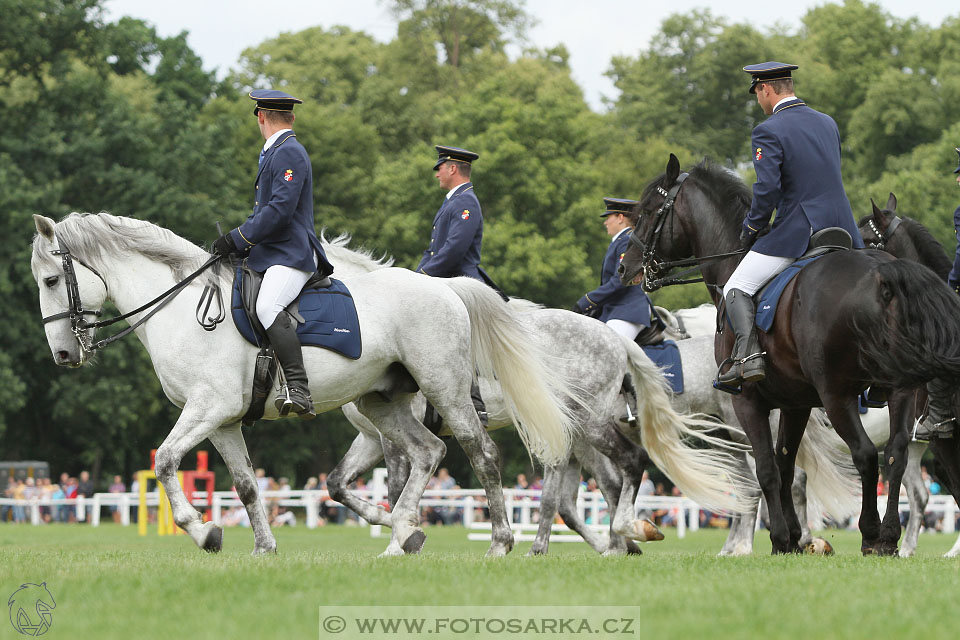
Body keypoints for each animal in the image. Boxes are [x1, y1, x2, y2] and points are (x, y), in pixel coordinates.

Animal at [31, 212, 584, 556]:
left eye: (51, 280)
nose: (63, 355)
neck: (182, 308)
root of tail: (444, 288)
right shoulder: (222, 421)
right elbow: (247, 486)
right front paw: (263, 547)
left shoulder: (208, 408)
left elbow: (165, 460)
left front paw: (204, 532)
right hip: (381, 403)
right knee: (429, 451)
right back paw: (402, 533)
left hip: (444, 388)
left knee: (481, 454)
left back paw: (499, 542)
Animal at [620, 155, 960, 556]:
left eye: (648, 210)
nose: (626, 266)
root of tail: (883, 271)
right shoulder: (795, 402)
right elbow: (785, 466)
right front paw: (796, 537)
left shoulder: (748, 401)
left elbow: (767, 469)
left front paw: (782, 538)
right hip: (900, 395)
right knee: (896, 457)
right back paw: (890, 537)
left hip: (837, 396)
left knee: (866, 456)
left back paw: (871, 533)